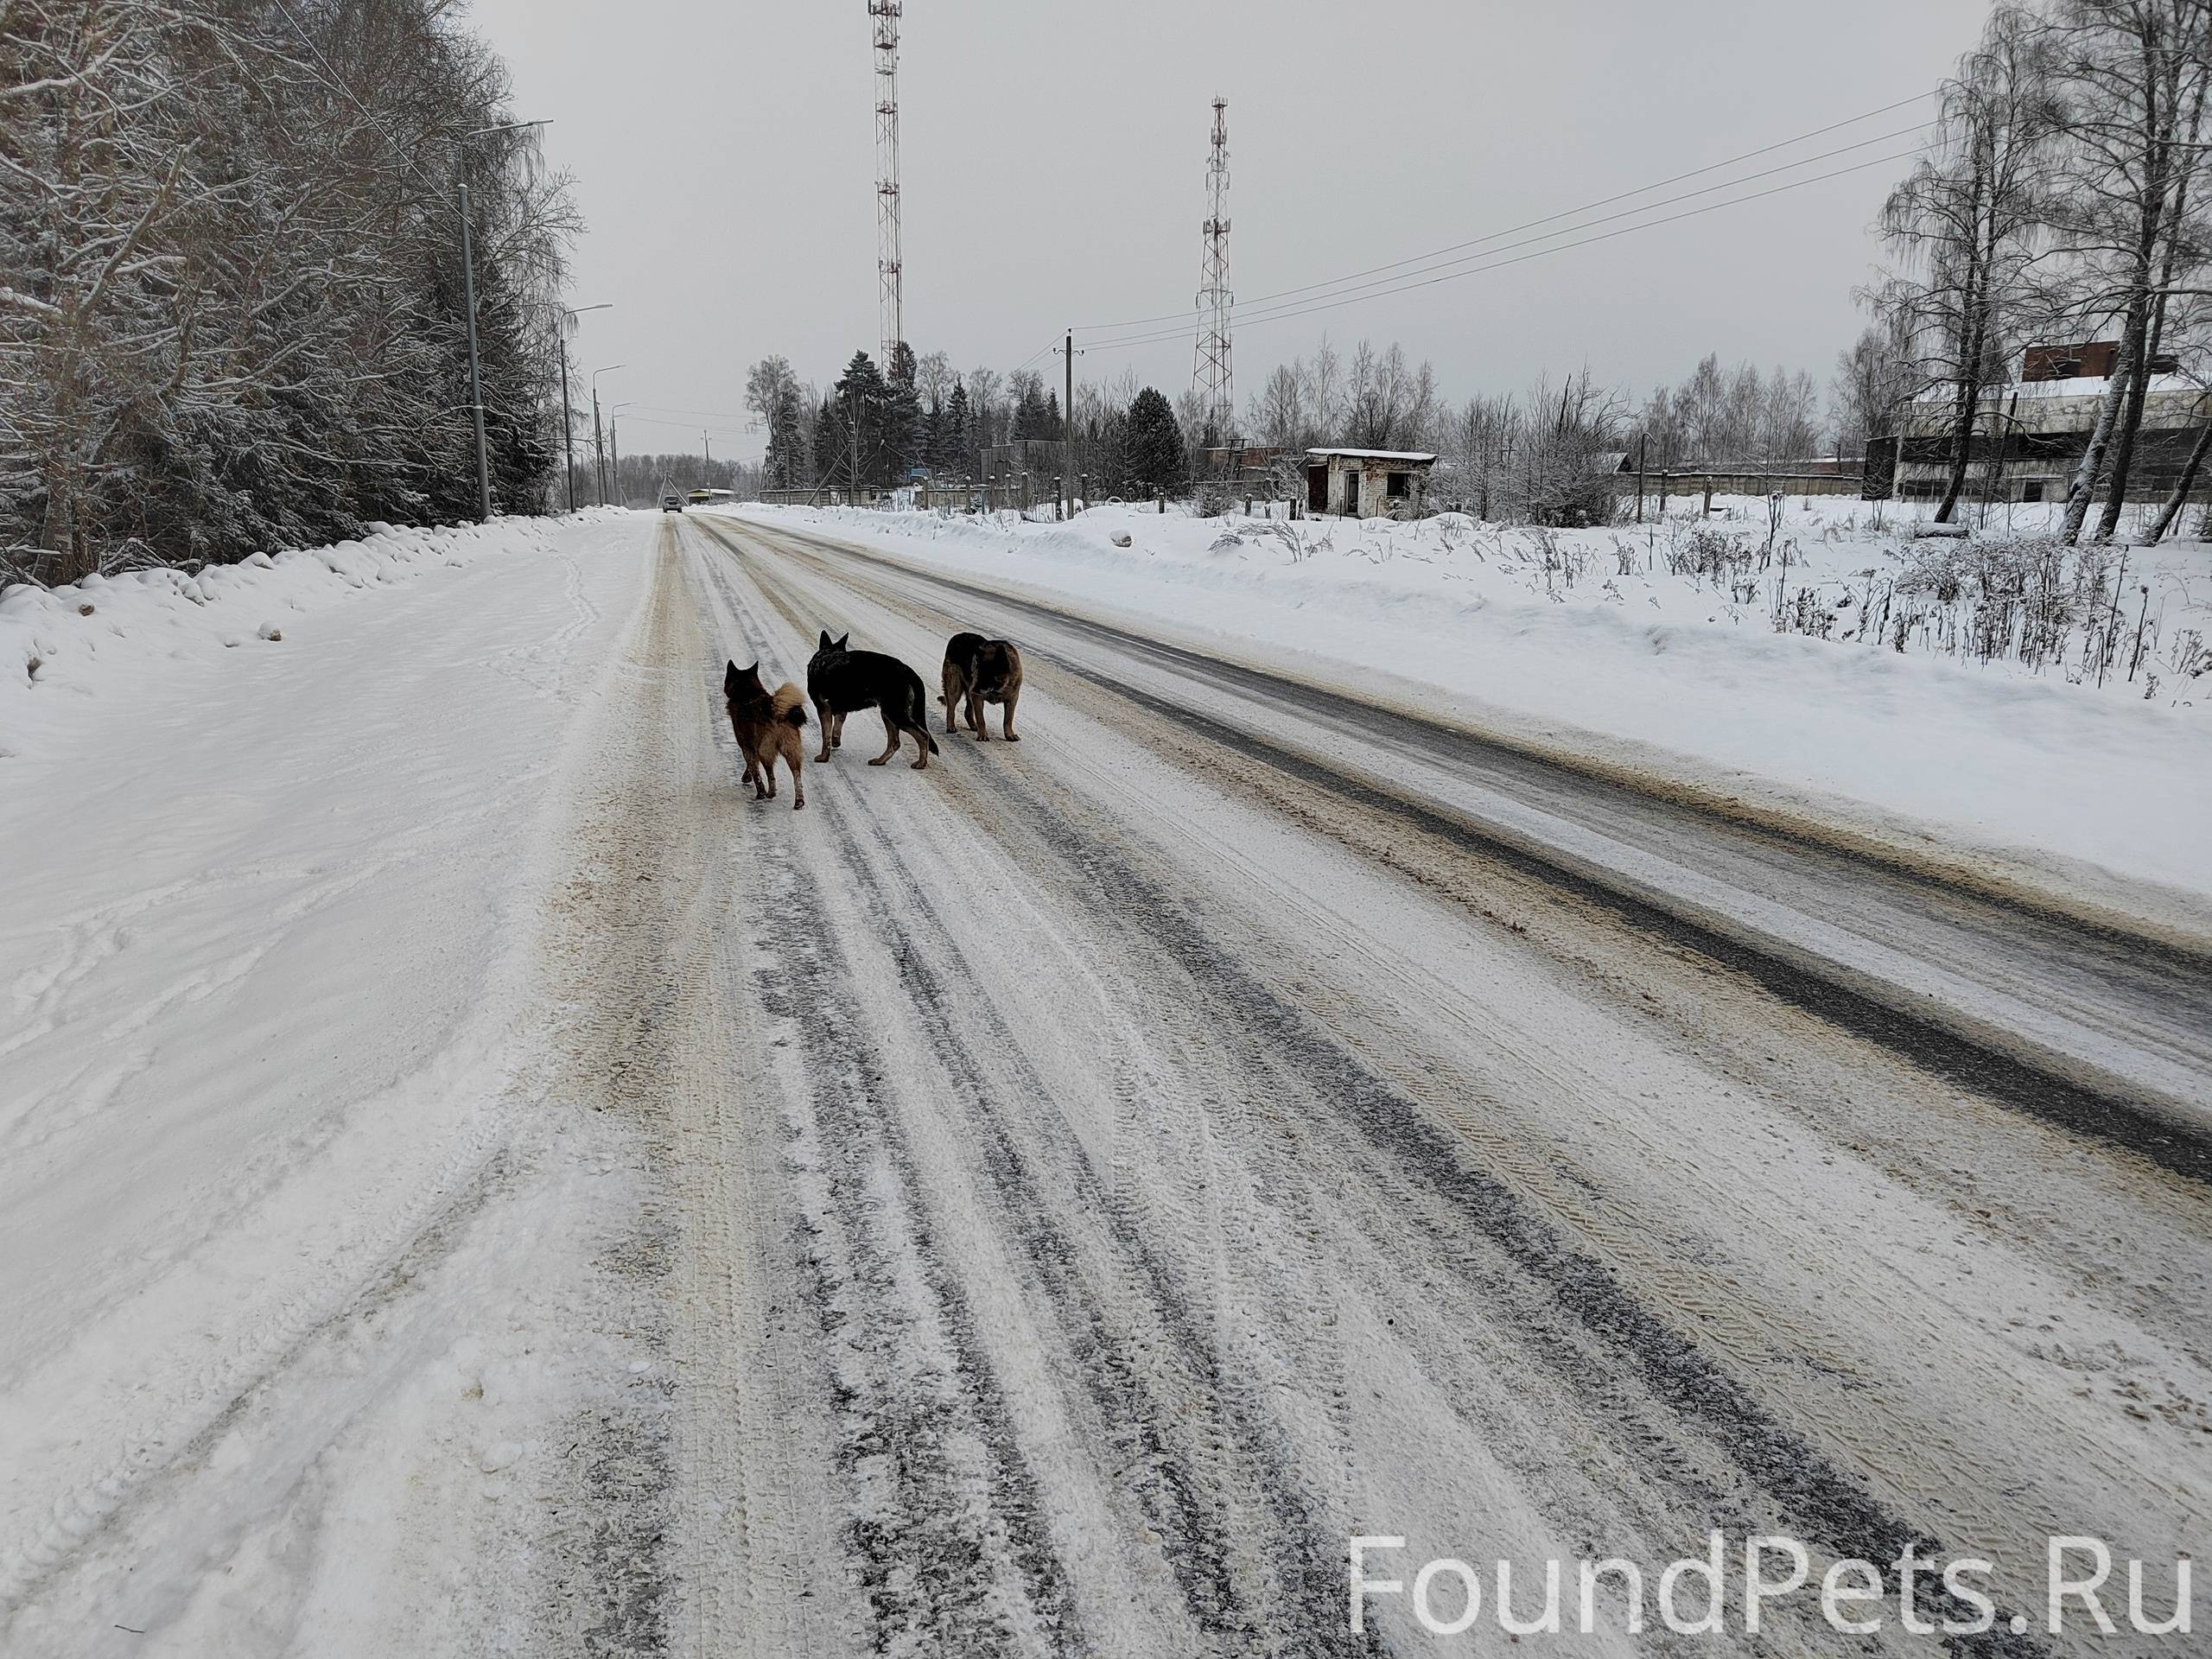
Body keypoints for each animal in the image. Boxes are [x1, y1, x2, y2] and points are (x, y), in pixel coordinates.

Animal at [721, 658, 809, 809]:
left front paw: (760, 791)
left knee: (771, 775)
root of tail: (777, 713)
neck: (747, 693)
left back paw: (770, 794)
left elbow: (754, 770)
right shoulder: (752, 744)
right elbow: (752, 766)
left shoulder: (746, 745)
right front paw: (747, 777)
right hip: (791, 750)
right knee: (797, 777)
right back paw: (799, 801)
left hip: (766, 750)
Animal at [809, 628, 938, 774]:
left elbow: (826, 737)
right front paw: (836, 743)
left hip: (894, 713)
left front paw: (824, 757)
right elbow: (836, 729)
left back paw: (921, 763)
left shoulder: (823, 709)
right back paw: (880, 761)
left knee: (923, 736)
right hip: (887, 714)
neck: (827, 654)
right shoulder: (840, 711)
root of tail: (910, 672)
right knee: (895, 742)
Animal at [942, 632, 1026, 743]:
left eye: (986, 676)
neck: (999, 688)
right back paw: (951, 727)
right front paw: (982, 735)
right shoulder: (977, 697)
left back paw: (973, 726)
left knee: (967, 712)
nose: (972, 690)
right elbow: (981, 719)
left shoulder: (1012, 700)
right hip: (955, 688)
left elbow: (1008, 719)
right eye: (977, 673)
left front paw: (1009, 735)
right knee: (950, 709)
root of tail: (957, 636)